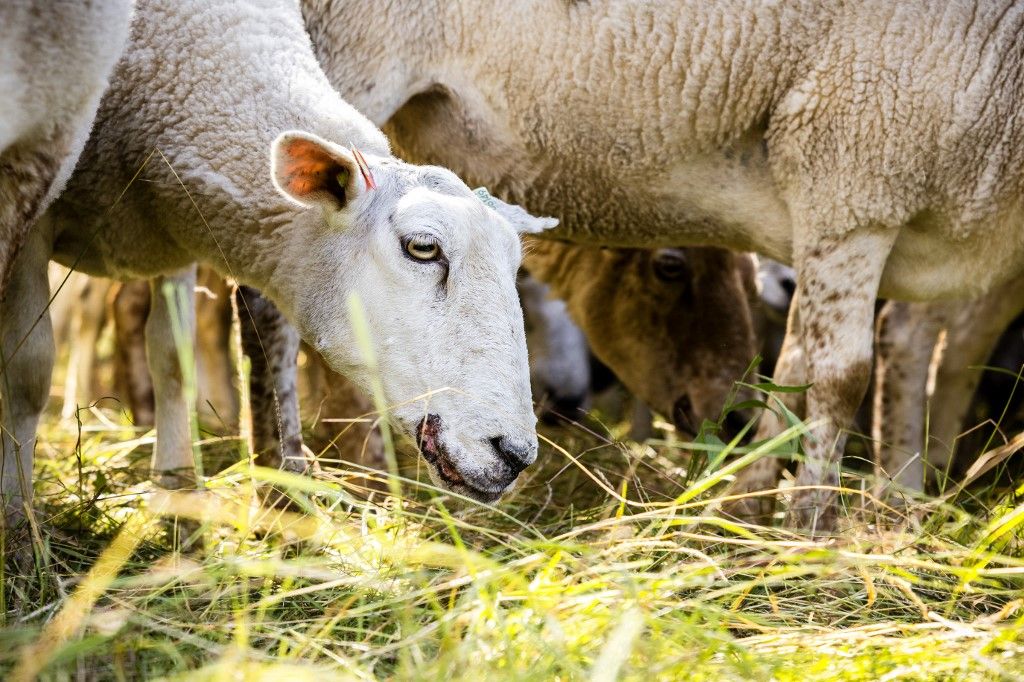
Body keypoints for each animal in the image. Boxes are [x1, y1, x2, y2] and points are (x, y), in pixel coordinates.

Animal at [2, 0, 561, 524]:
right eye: (422, 248)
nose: (514, 455)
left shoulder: (172, 230)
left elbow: (172, 358)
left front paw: (177, 489)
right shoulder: (36, 205)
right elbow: (29, 371)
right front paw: (18, 516)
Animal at [303, 1, 1024, 532]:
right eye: (671, 267)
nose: (727, 423)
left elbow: (819, 365)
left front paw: (754, 511)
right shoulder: (855, 174)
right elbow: (836, 376)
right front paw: (804, 528)